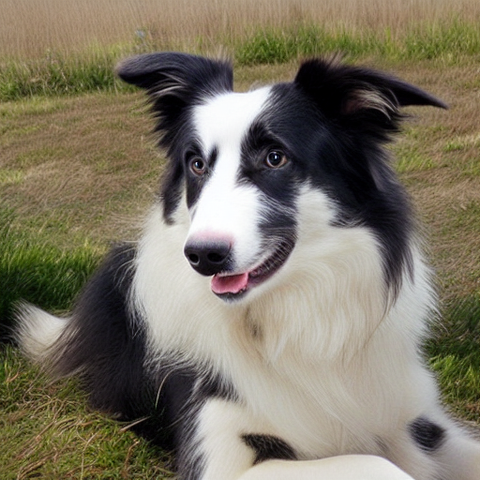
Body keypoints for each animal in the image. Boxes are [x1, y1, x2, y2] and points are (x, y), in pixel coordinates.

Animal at [15, 53, 480, 480]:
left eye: (275, 157)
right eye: (196, 163)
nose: (203, 256)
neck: (294, 313)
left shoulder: (415, 420)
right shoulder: (218, 457)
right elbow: (378, 464)